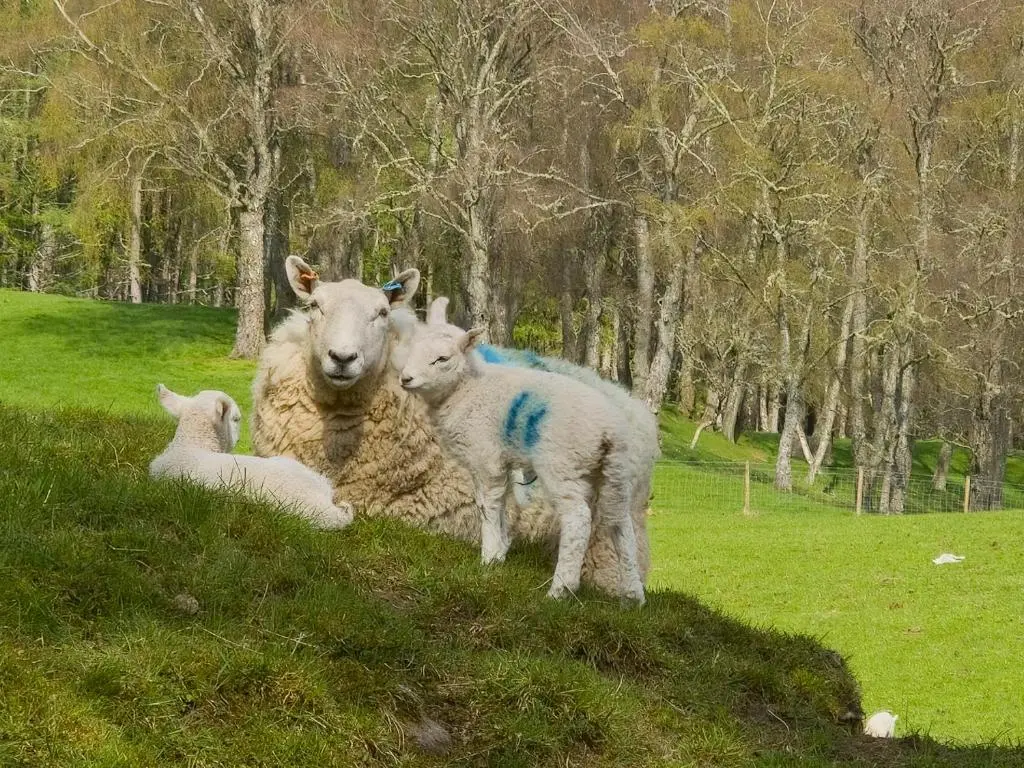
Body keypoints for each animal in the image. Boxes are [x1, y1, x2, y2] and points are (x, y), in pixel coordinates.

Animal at [398, 322, 646, 604]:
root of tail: (611, 430)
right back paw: (633, 594)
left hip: (562, 466)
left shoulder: (485, 457)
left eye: (442, 359)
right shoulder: (501, 462)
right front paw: (500, 552)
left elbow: (487, 506)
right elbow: (503, 502)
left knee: (578, 519)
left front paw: (489, 557)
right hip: (613, 472)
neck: (466, 390)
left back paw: (561, 589)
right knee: (621, 523)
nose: (406, 379)